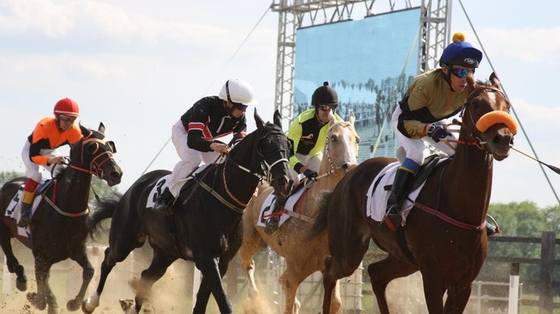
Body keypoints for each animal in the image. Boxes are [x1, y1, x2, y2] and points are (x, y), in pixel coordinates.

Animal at [0, 122, 122, 314]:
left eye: (111, 147)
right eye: (92, 147)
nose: (116, 173)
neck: (67, 208)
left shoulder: (77, 248)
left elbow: (89, 271)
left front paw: (74, 303)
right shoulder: (42, 254)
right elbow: (43, 285)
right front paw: (40, 300)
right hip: (4, 230)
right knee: (11, 257)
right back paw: (21, 278)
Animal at [82, 110, 294, 314]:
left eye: (287, 143)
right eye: (264, 145)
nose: (286, 181)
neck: (221, 198)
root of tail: (133, 189)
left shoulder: (222, 262)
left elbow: (201, 302)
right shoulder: (207, 259)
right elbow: (223, 302)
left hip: (165, 251)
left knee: (147, 276)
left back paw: (131, 307)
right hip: (126, 239)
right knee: (109, 258)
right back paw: (90, 303)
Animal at [238, 111, 360, 312]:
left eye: (357, 139)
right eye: (334, 138)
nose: (350, 168)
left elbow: (335, 303)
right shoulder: (294, 272)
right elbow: (288, 297)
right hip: (248, 240)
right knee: (248, 265)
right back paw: (253, 298)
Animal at [308, 72, 520, 312]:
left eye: (507, 105)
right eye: (476, 104)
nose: (503, 139)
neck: (459, 208)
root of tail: (347, 177)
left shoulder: (463, 284)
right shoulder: (433, 277)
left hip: (404, 259)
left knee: (376, 274)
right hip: (349, 251)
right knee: (329, 269)